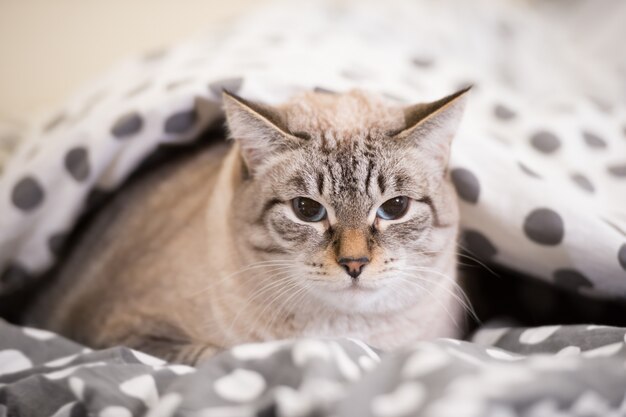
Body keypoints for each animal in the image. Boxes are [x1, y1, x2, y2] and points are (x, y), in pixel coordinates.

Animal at [24, 88, 468, 364]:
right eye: (307, 209)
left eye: (395, 207)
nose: (355, 264)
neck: (344, 335)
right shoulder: (126, 338)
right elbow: (218, 355)